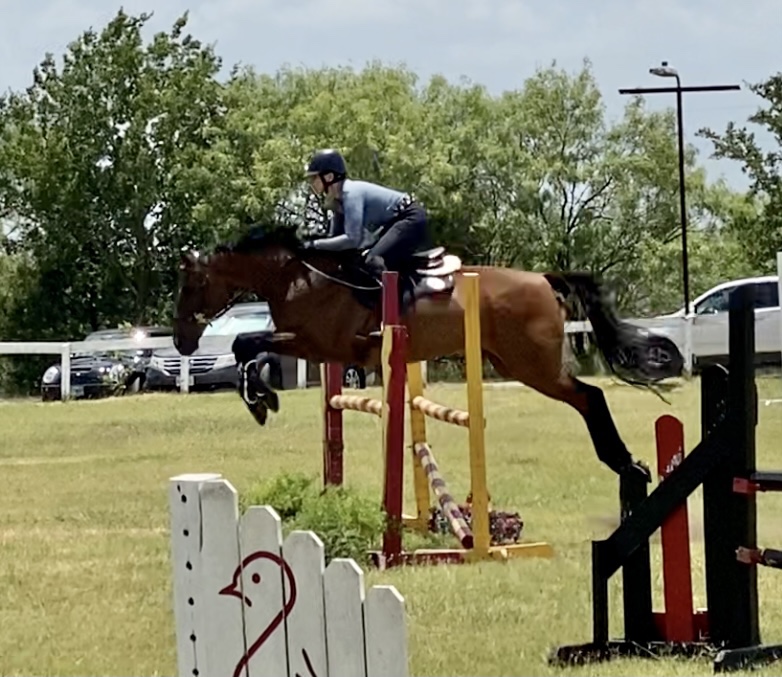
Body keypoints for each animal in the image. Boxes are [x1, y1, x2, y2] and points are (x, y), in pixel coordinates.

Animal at [173, 224, 680, 482]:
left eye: (192, 284)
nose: (181, 342)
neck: (298, 277)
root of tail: (542, 278)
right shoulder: (310, 347)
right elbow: (247, 347)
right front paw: (262, 398)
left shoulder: (317, 343)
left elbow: (245, 343)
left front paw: (260, 399)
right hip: (515, 361)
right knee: (587, 397)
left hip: (531, 364)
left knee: (589, 397)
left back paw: (627, 466)